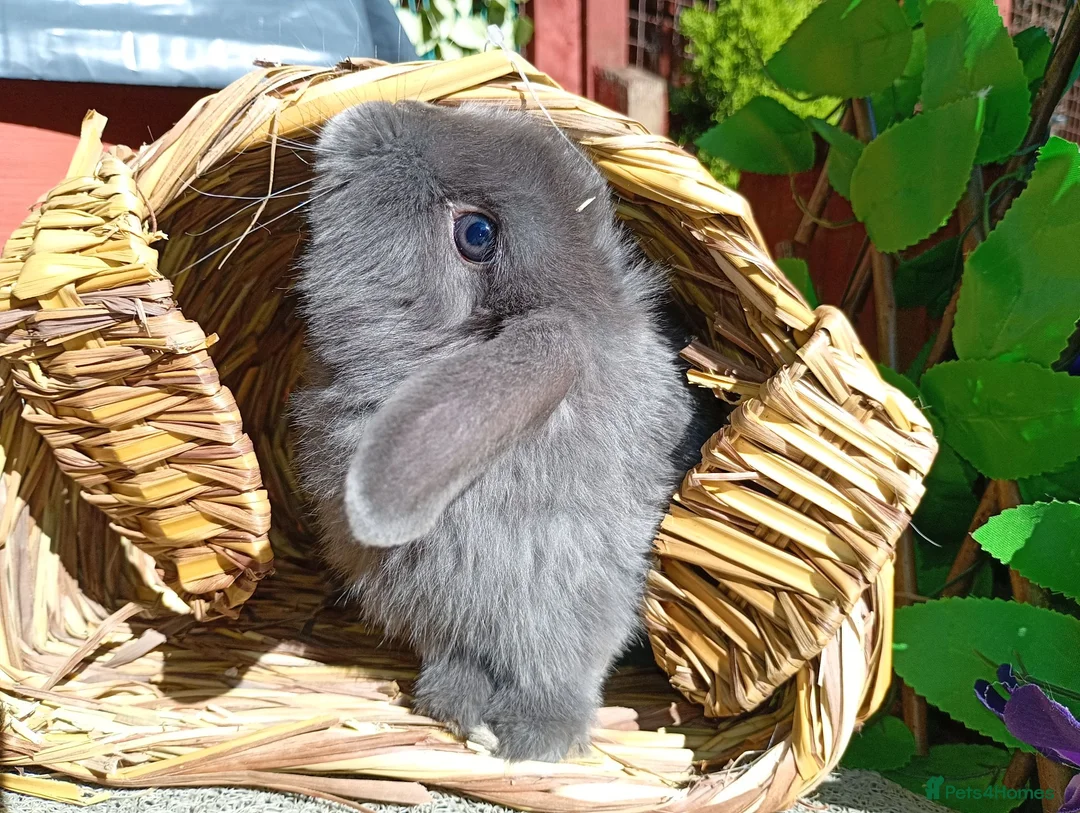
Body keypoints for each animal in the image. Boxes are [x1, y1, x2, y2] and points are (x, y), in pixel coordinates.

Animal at [289, 99, 718, 763]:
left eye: (477, 235)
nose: (361, 116)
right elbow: (461, 657)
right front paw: (452, 705)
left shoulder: (581, 598)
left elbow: (560, 671)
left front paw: (533, 738)